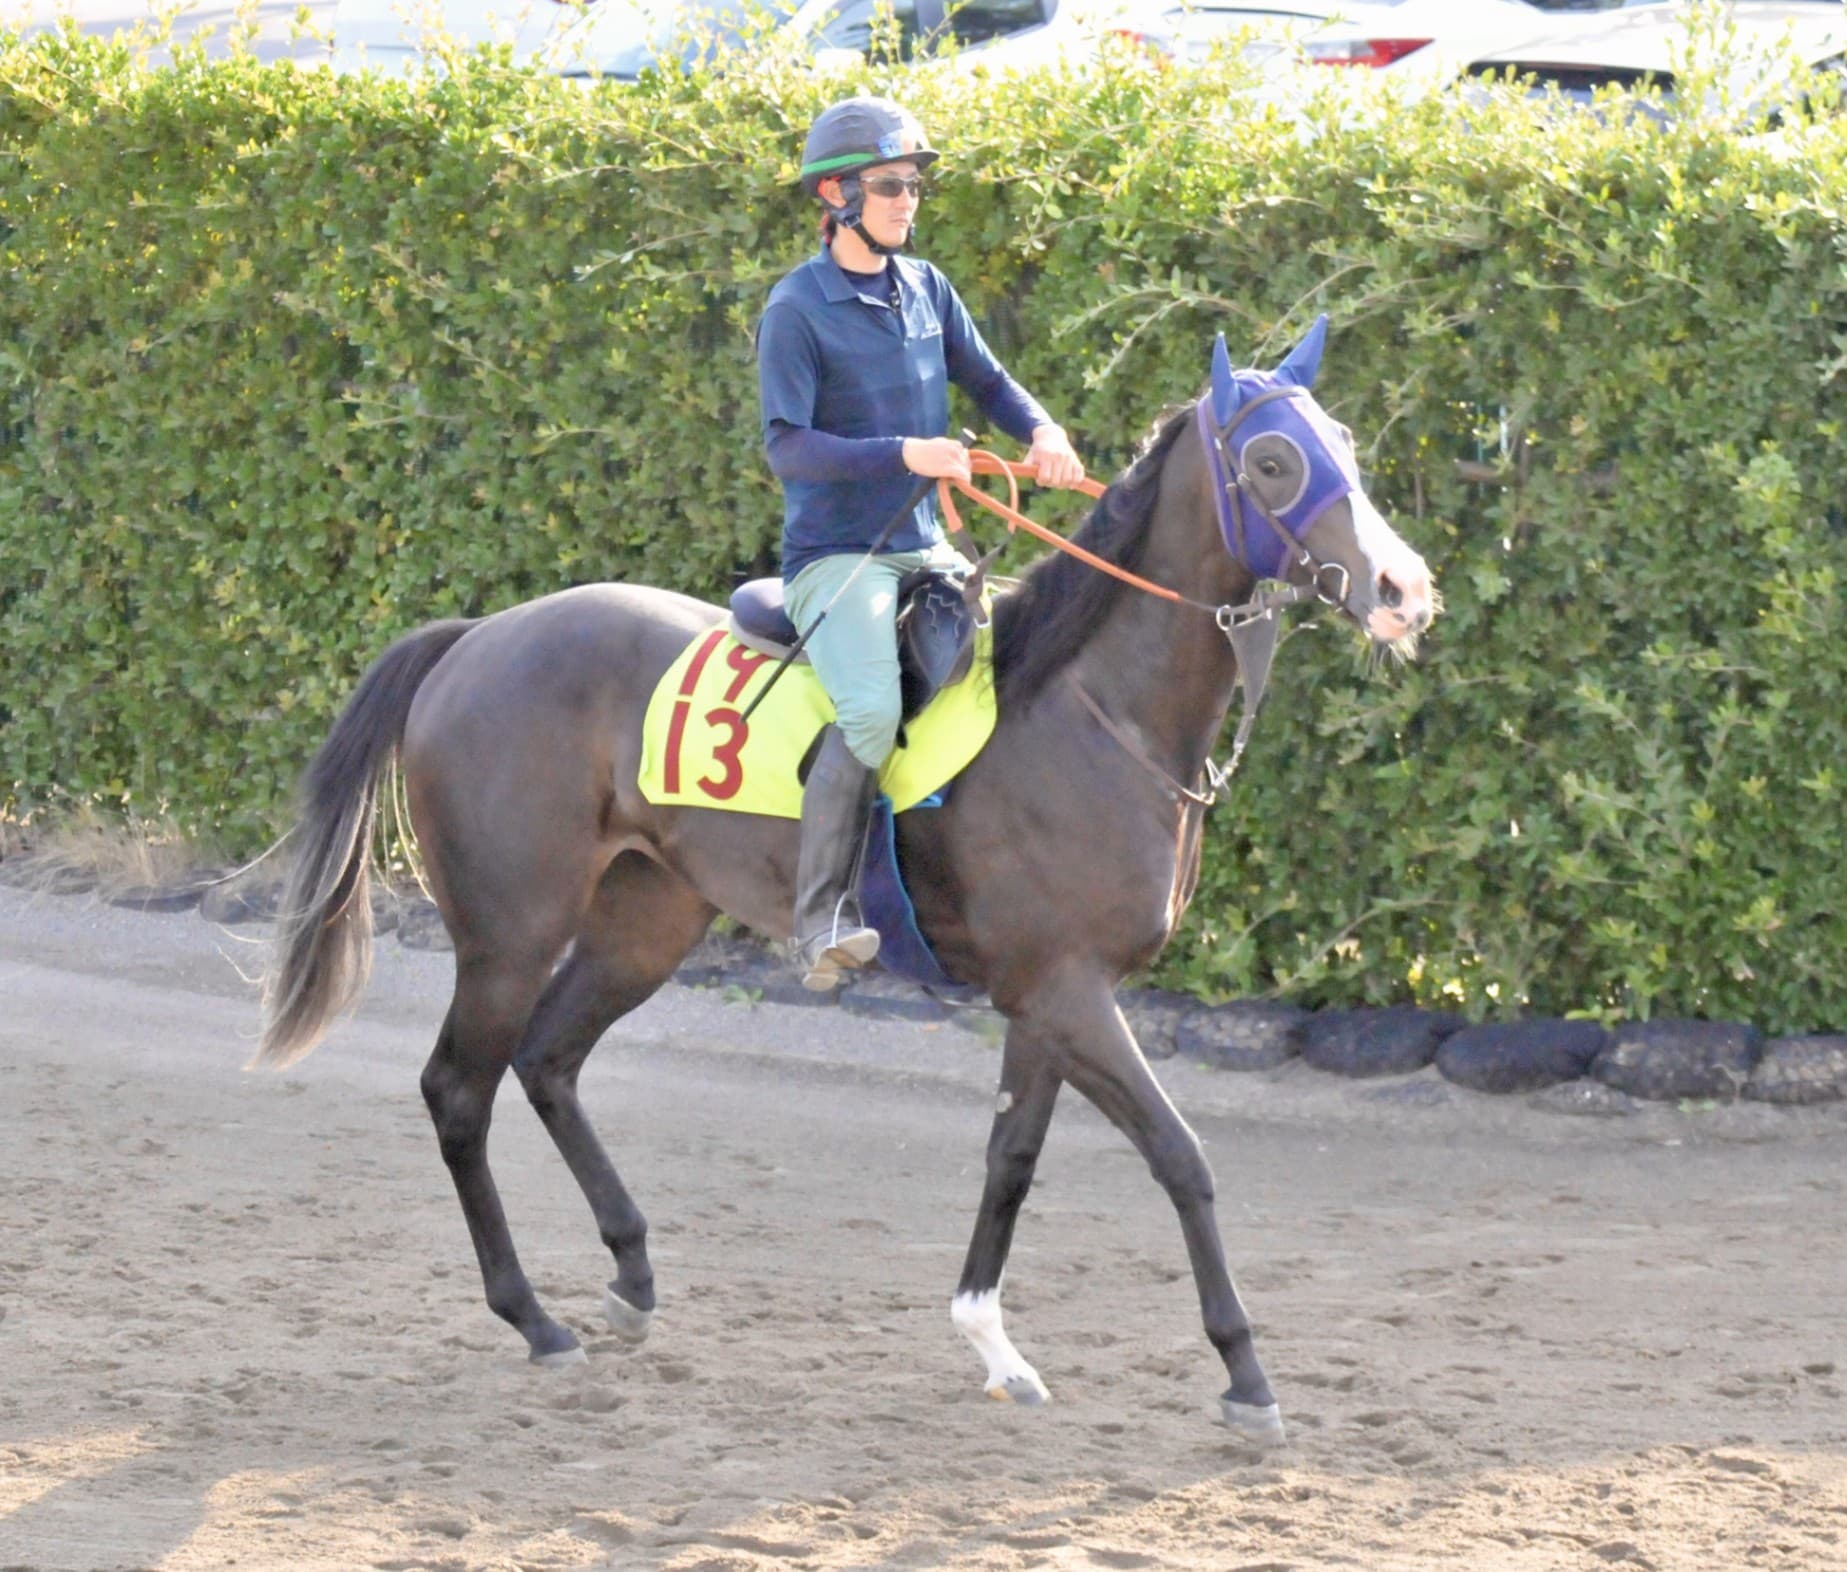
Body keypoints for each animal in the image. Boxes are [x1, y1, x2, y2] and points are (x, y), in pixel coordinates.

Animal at [254, 316, 1436, 1447]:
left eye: (1346, 446)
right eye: (1273, 462)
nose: (1403, 589)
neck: (1092, 712)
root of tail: (473, 640)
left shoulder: (1045, 996)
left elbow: (1011, 1156)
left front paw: (991, 1343)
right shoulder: (1068, 992)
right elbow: (1180, 1157)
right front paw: (1245, 1378)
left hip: (645, 918)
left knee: (548, 1061)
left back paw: (630, 1274)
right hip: (509, 930)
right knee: (460, 1090)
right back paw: (532, 1319)